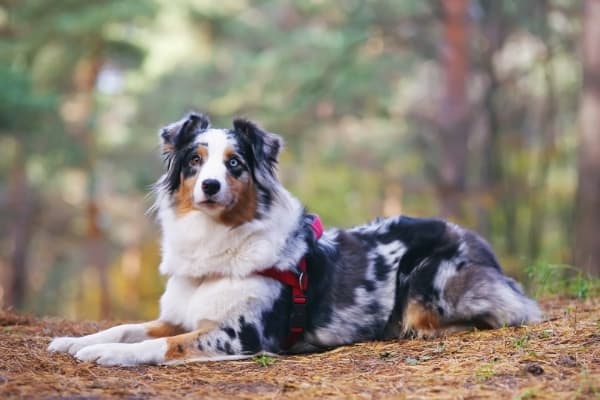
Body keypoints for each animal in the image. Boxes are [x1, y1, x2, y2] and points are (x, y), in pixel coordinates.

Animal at [49, 111, 540, 366]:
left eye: (234, 164)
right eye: (194, 161)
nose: (210, 186)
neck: (217, 243)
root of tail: (478, 242)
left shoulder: (241, 335)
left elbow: (160, 345)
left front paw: (108, 354)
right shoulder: (181, 316)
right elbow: (128, 326)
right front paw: (77, 341)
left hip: (428, 281)